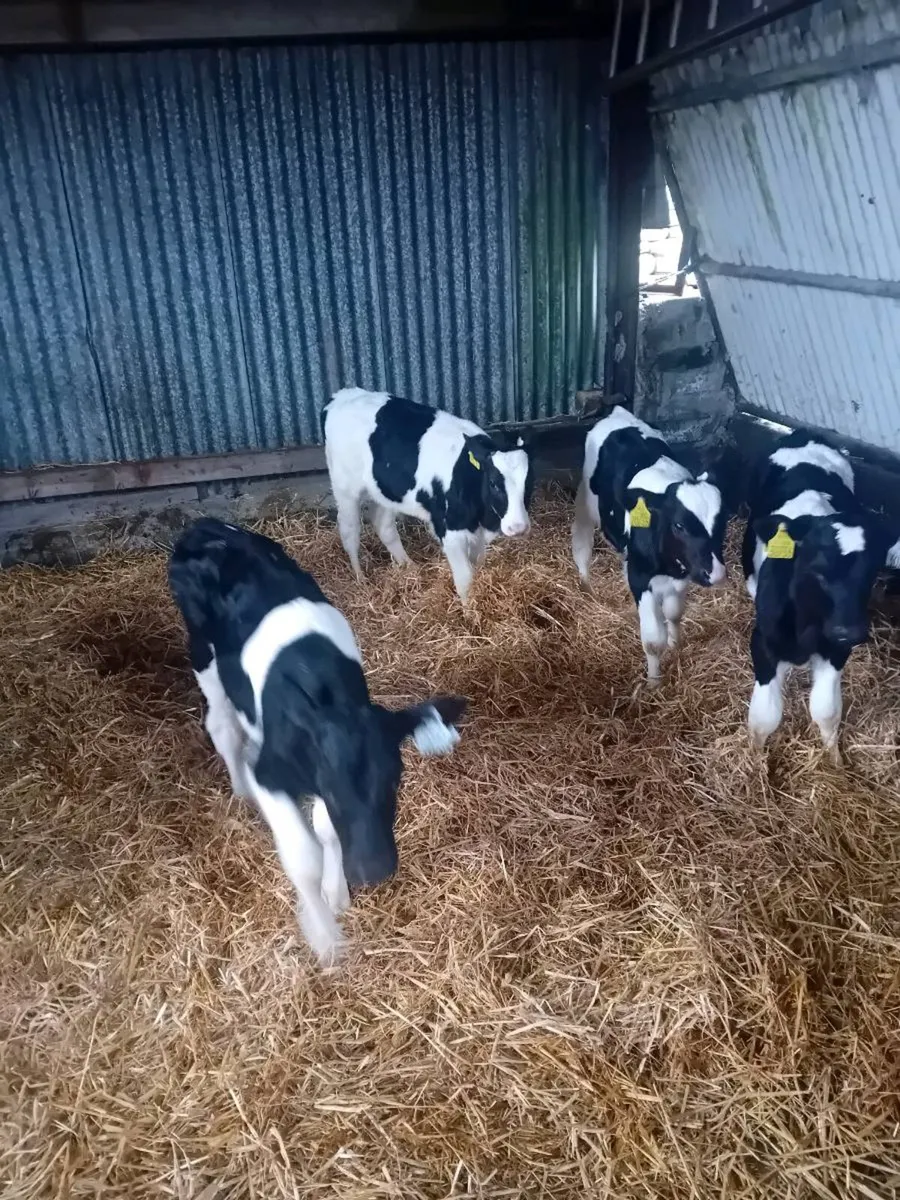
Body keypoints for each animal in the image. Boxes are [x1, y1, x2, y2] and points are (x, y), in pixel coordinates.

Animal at [168, 518, 467, 963]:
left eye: (395, 779)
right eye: (332, 786)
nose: (374, 871)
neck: (330, 699)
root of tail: (203, 526)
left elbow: (326, 828)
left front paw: (336, 891)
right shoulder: (271, 772)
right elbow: (302, 855)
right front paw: (326, 938)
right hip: (203, 653)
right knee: (222, 725)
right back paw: (241, 791)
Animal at [323, 387, 534, 605]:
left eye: (529, 480)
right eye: (493, 483)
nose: (518, 527)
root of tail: (341, 395)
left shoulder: (477, 533)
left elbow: (477, 565)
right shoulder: (449, 531)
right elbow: (465, 579)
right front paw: (469, 610)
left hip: (385, 492)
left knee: (384, 526)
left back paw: (409, 567)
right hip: (345, 489)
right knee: (349, 532)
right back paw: (360, 578)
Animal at [571, 405, 727, 688]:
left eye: (723, 519)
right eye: (679, 525)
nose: (716, 573)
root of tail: (618, 412)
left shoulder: (682, 575)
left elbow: (674, 613)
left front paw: (676, 643)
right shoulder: (641, 577)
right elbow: (654, 641)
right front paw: (654, 682)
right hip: (585, 501)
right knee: (581, 544)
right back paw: (586, 585)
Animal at [742, 429, 897, 759]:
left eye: (872, 569)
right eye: (817, 569)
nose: (849, 631)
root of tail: (804, 433)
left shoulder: (836, 649)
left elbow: (826, 710)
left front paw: (833, 758)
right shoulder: (762, 642)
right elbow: (765, 717)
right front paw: (755, 758)